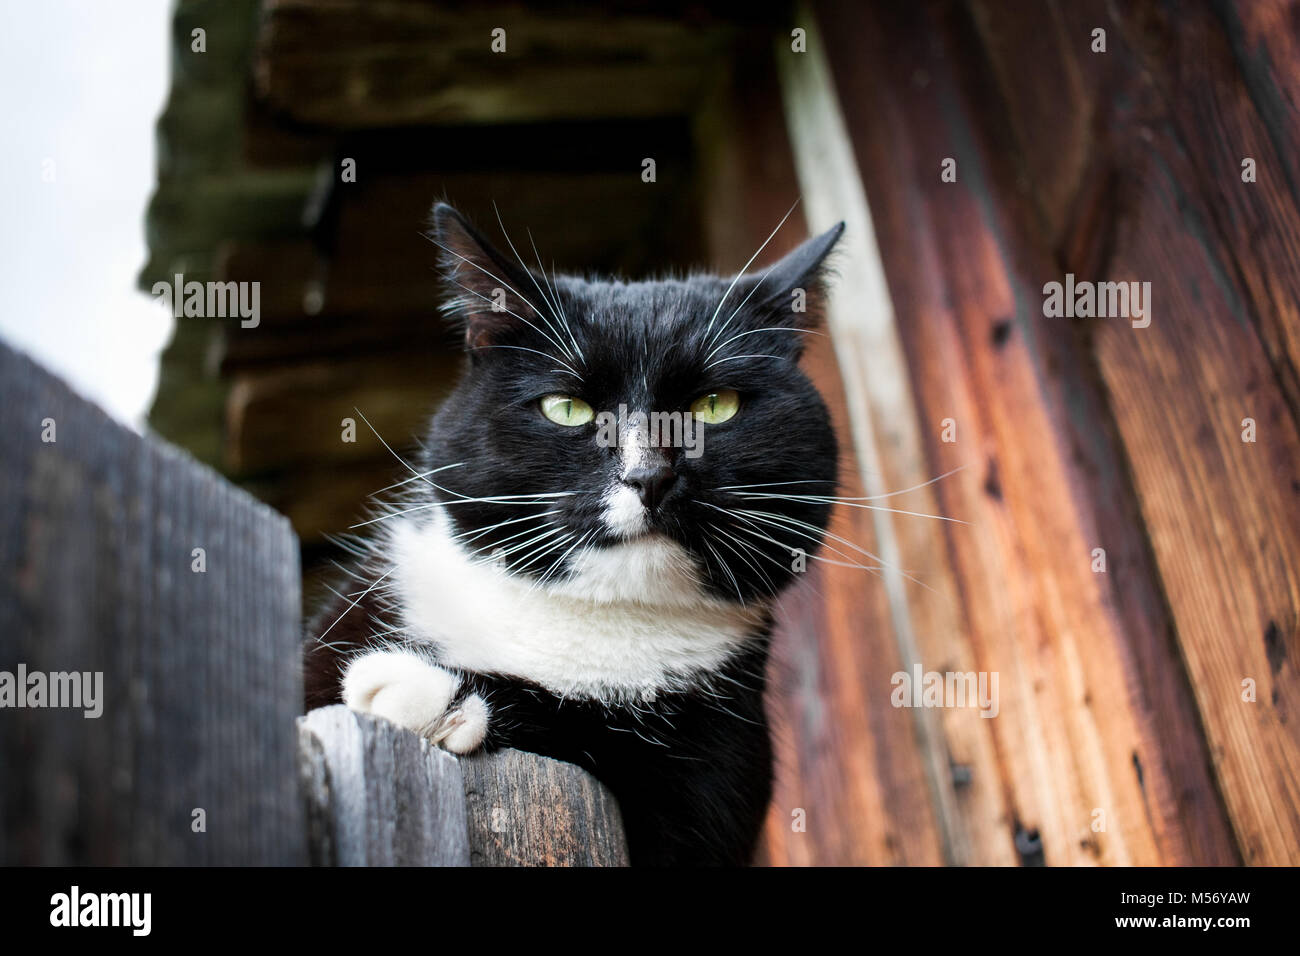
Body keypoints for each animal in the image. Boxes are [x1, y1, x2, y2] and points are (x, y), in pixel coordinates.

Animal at [304, 201, 842, 868]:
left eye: (716, 405)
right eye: (568, 409)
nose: (648, 477)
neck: (590, 620)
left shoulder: (722, 771)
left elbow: (595, 729)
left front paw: (431, 693)